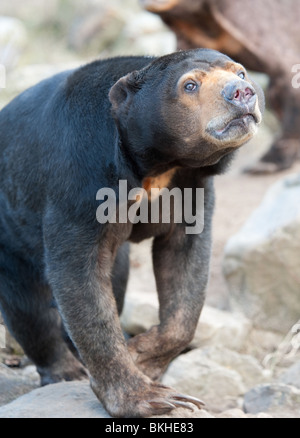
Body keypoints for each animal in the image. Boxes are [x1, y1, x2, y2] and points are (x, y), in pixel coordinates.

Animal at [0, 49, 264, 416]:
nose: (242, 93)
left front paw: (141, 355)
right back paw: (65, 370)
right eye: (190, 85)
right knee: (27, 305)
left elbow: (186, 268)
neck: (158, 162)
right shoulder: (80, 180)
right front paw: (147, 396)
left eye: (240, 72)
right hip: (10, 233)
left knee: (117, 279)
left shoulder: (191, 187)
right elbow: (79, 279)